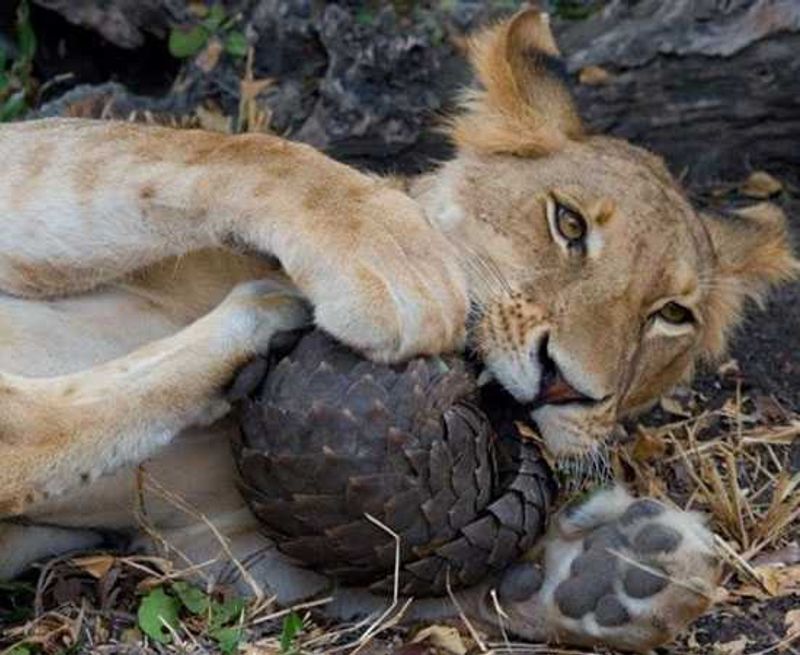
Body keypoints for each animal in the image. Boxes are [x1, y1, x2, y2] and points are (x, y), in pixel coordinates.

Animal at [0, 9, 796, 652]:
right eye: (567, 223)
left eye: (672, 315)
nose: (565, 386)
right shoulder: (25, 152)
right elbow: (232, 151)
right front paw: (389, 250)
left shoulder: (214, 539)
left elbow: (395, 573)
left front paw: (614, 571)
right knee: (23, 428)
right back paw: (263, 319)